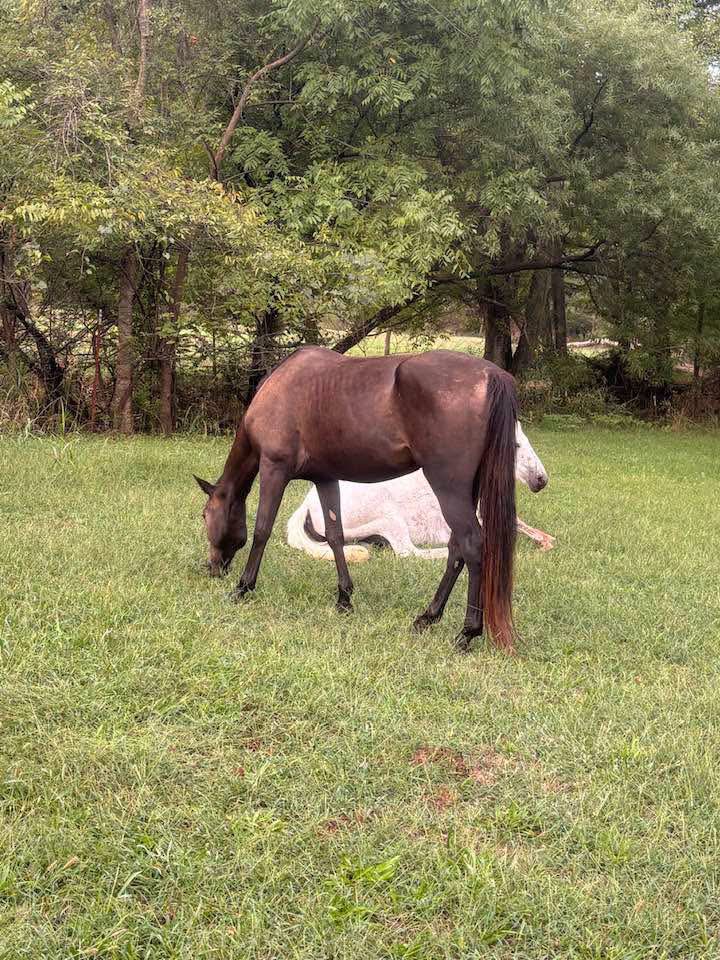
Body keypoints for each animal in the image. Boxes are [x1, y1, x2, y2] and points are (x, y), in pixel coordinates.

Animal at [194, 346, 519, 652]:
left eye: (205, 515)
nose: (212, 568)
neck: (280, 386)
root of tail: (491, 374)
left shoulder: (274, 469)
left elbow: (262, 530)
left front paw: (243, 587)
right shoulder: (325, 478)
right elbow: (335, 536)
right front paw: (344, 598)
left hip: (448, 488)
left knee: (471, 546)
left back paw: (467, 633)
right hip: (467, 491)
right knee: (455, 550)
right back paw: (428, 617)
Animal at [286, 422, 554, 562]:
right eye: (515, 445)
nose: (541, 480)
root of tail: (307, 504)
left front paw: (547, 541)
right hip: (390, 518)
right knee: (407, 551)